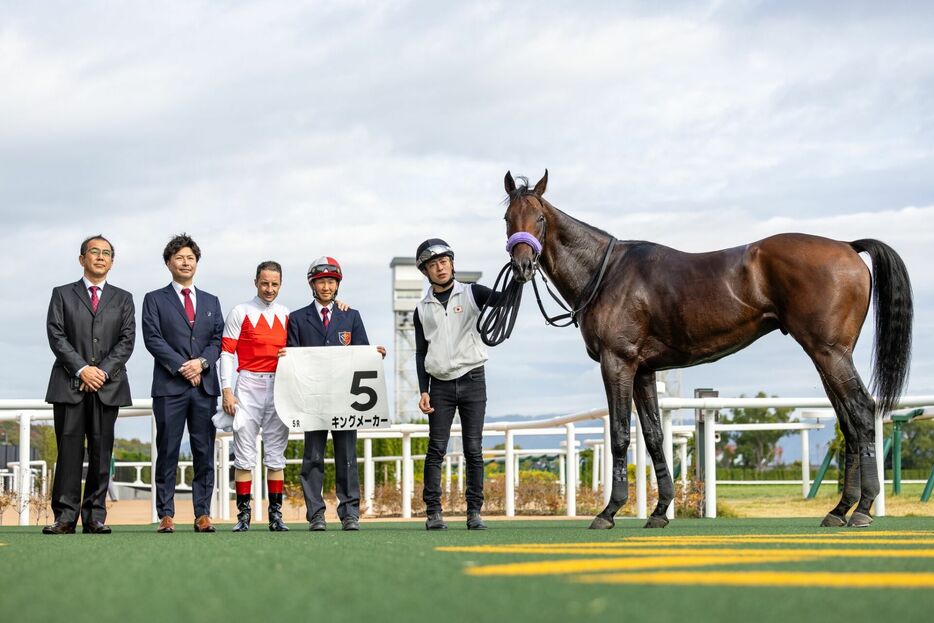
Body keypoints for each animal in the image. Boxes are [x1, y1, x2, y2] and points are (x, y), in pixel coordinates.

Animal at [504, 172, 916, 532]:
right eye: (508, 218)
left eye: (540, 218)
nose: (522, 266)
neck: (606, 273)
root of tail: (848, 246)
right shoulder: (645, 370)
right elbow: (654, 436)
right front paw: (660, 511)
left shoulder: (617, 363)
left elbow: (621, 433)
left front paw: (608, 512)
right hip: (827, 357)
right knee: (848, 423)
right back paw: (840, 509)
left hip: (830, 354)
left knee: (862, 411)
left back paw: (863, 509)